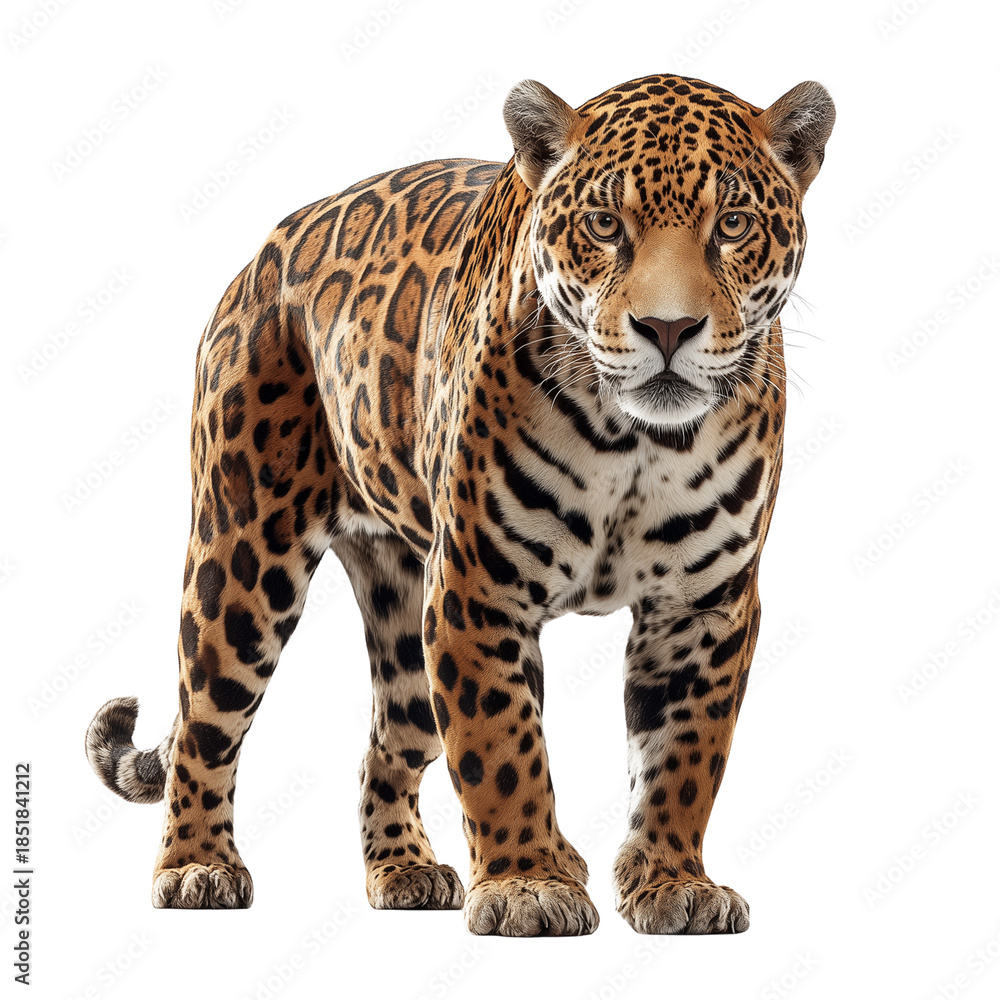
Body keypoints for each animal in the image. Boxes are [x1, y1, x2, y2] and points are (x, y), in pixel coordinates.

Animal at [85, 72, 834, 936]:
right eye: (605, 225)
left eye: (733, 225)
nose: (669, 328)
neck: (636, 440)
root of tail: (264, 253)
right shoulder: (478, 590)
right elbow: (502, 748)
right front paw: (525, 885)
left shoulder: (703, 606)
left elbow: (684, 758)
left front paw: (672, 880)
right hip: (242, 556)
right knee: (206, 723)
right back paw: (196, 865)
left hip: (405, 615)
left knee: (384, 743)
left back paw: (406, 869)